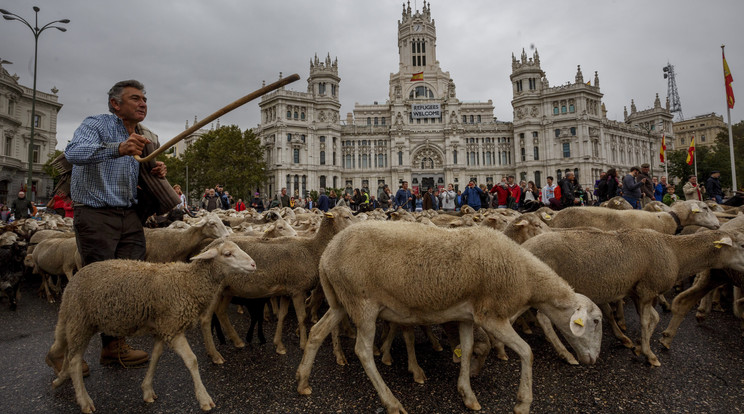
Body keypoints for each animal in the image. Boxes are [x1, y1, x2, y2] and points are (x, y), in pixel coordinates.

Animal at [45, 239, 258, 414]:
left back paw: (60, 378)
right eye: (227, 254)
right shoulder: (173, 327)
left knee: (67, 353)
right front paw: (204, 398)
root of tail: (72, 283)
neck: (187, 282)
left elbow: (156, 356)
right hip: (80, 322)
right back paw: (84, 401)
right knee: (74, 361)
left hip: (76, 322)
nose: (254, 264)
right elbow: (192, 361)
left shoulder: (162, 327)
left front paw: (147, 390)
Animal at [201, 209, 358, 360]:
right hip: (214, 290)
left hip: (228, 290)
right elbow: (302, 317)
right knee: (205, 319)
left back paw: (237, 341)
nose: (359, 227)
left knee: (221, 312)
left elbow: (282, 315)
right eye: (346, 216)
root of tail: (207, 248)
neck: (313, 249)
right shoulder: (298, 290)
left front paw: (279, 345)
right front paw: (303, 343)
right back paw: (215, 355)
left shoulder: (287, 291)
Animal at [294, 223, 600, 414]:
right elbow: (527, 352)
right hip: (364, 304)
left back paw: (303, 381)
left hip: (340, 302)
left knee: (317, 332)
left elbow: (466, 349)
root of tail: (327, 254)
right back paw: (391, 402)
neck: (526, 276)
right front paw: (523, 403)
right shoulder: (491, 316)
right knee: (363, 351)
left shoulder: (466, 316)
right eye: (596, 321)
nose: (593, 360)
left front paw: (468, 394)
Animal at [520, 226, 744, 366]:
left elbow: (655, 318)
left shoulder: (638, 291)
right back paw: (565, 354)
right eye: (742, 245)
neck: (675, 252)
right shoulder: (647, 289)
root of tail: (525, 247)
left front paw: (638, 346)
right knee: (544, 319)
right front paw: (650, 355)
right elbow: (645, 321)